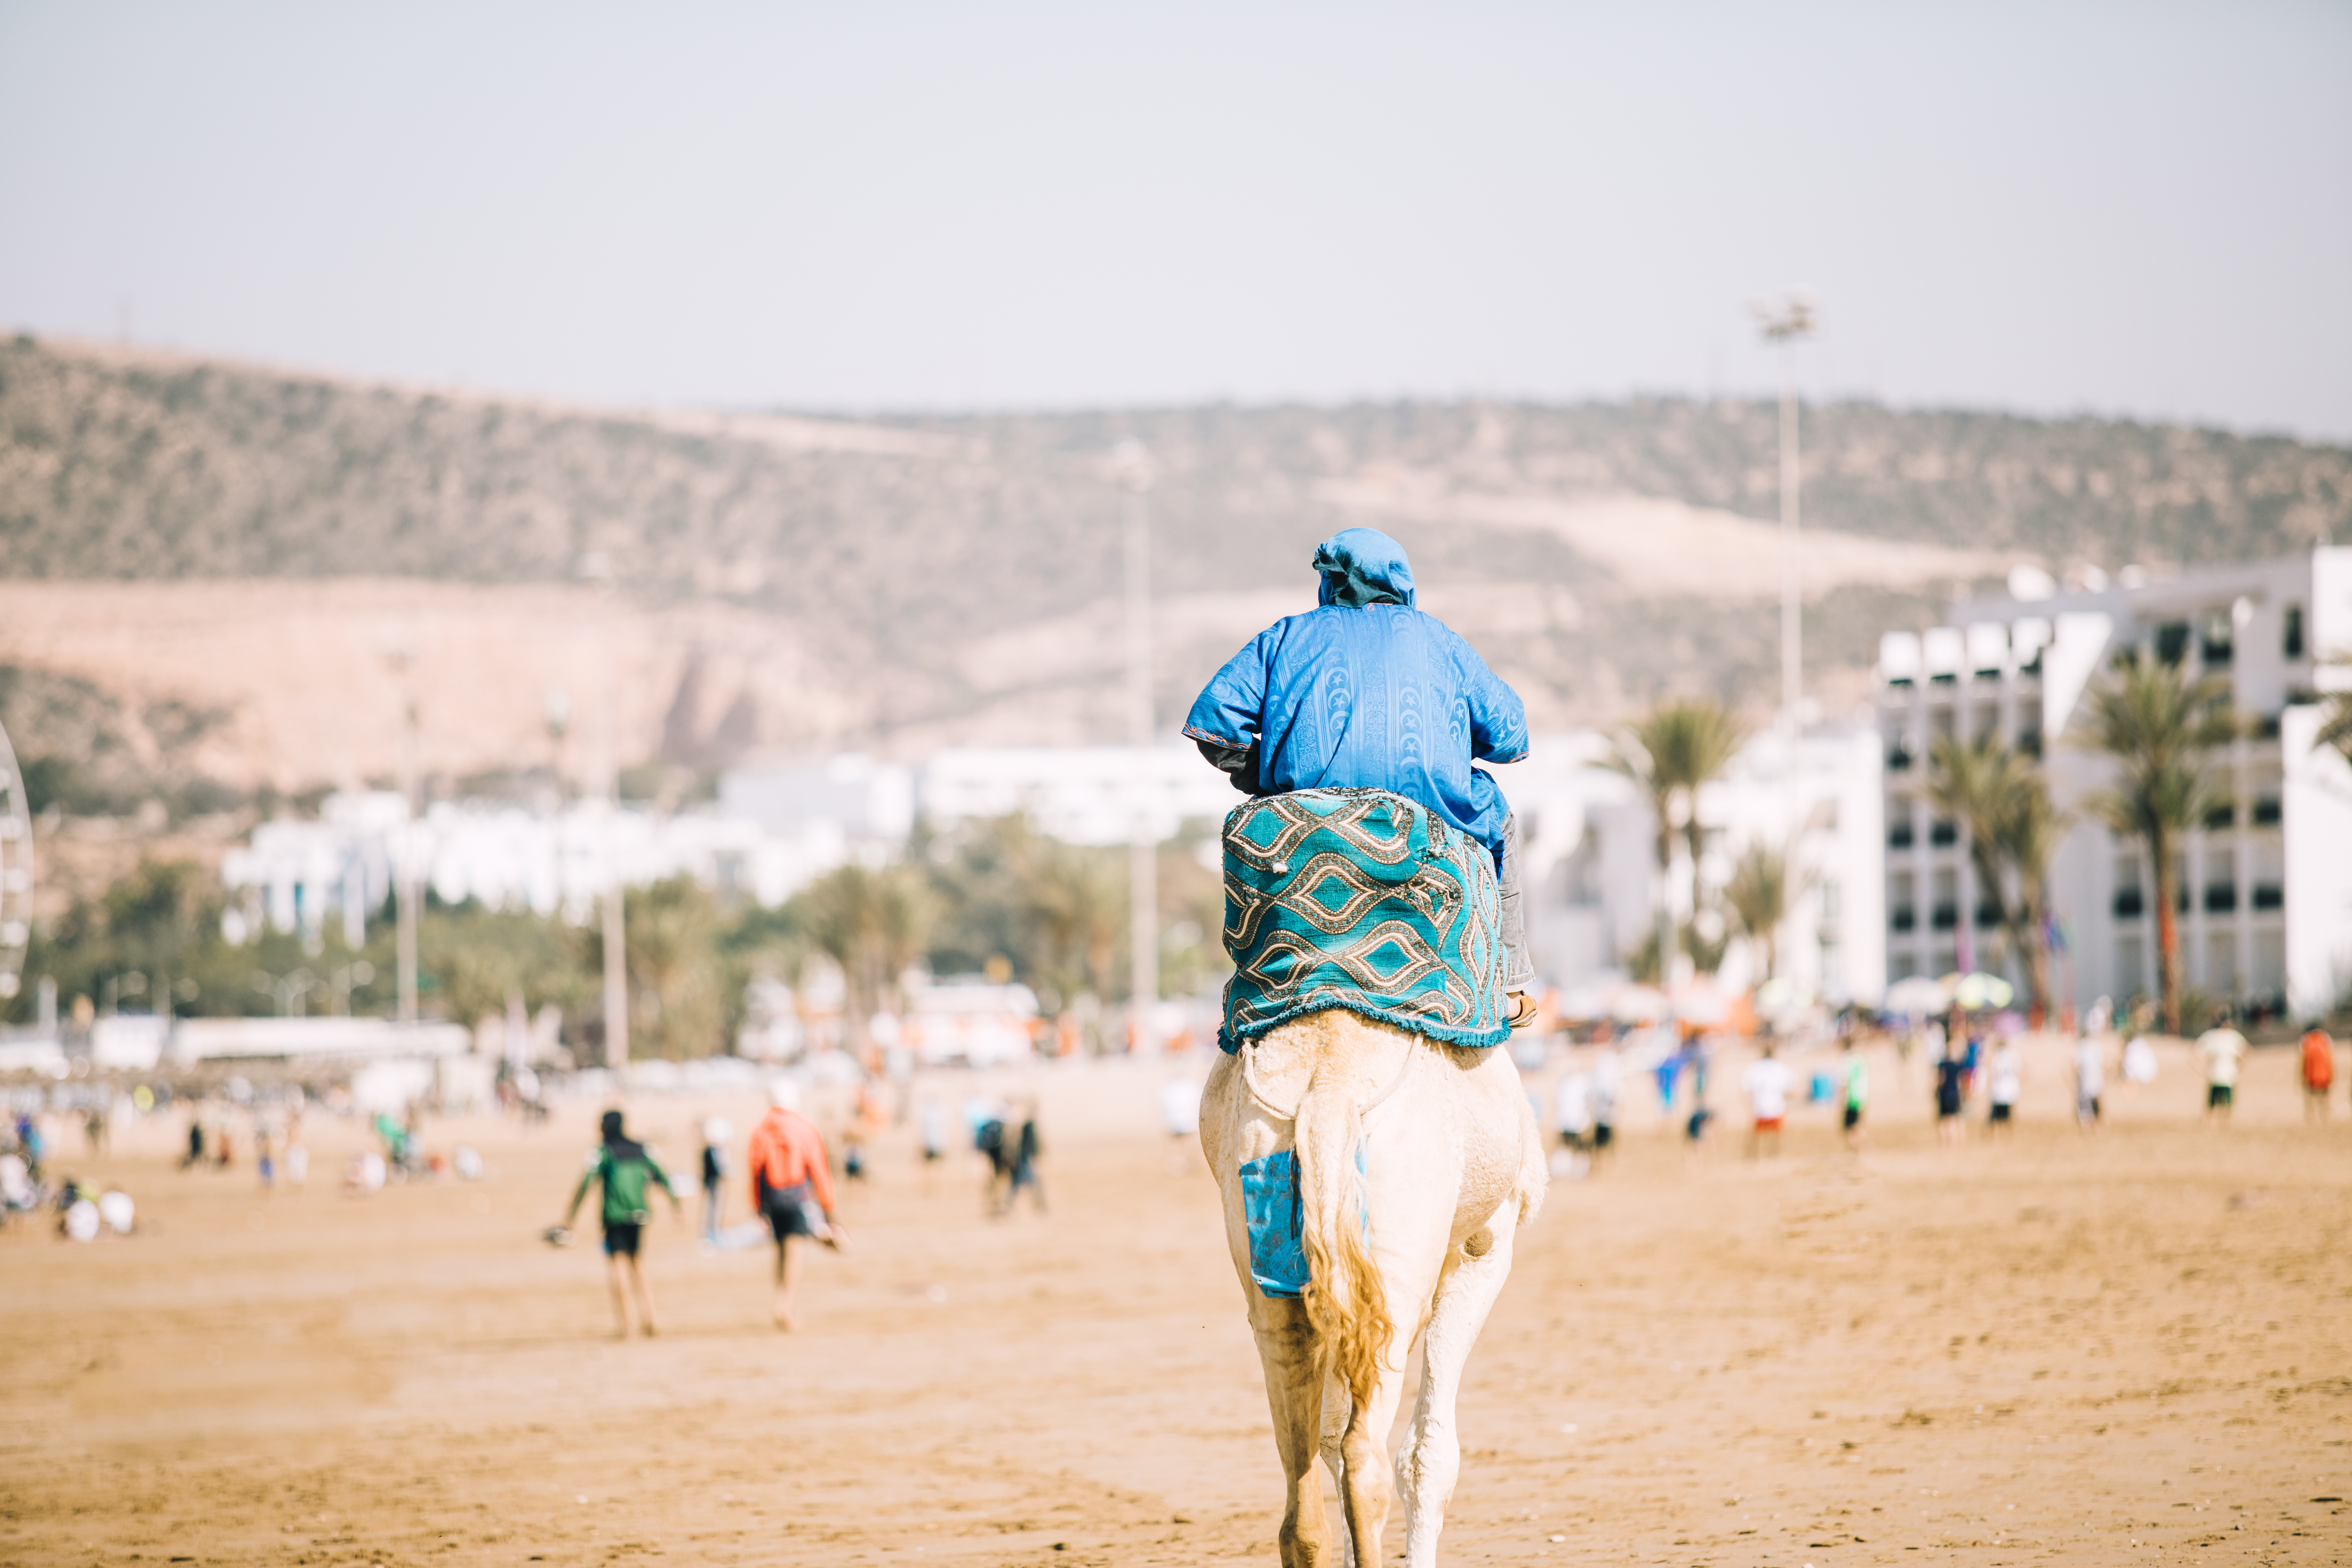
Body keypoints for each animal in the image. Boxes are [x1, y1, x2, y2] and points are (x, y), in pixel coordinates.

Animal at [1202, 1005, 1547, 1568]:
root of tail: (1328, 1089)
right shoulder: (1484, 1249)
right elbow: (1429, 1458)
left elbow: (1329, 1434)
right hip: (1397, 1269)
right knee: (1366, 1460)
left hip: (1268, 1232)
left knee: (1304, 1501)